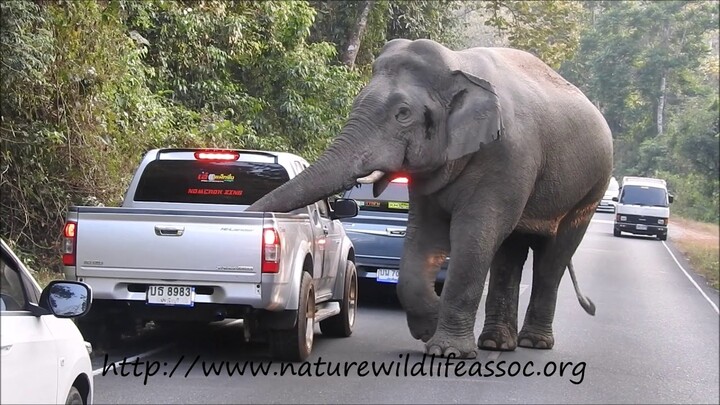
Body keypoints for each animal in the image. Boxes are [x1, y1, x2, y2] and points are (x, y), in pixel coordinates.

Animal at [247, 38, 613, 359]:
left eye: (403, 113)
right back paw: (495, 343)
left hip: (592, 188)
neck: (459, 64)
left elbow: (475, 235)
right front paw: (429, 329)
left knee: (554, 255)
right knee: (511, 252)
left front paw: (448, 350)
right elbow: (424, 236)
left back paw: (533, 343)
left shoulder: (508, 157)